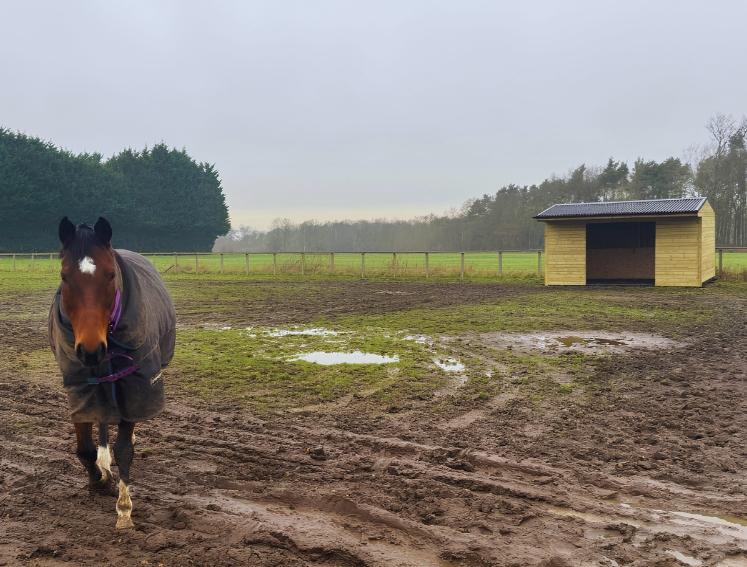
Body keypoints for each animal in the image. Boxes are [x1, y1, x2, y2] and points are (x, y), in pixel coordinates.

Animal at [49, 217, 176, 529]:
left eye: (109, 275)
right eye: (64, 276)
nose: (90, 350)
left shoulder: (135, 386)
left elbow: (124, 449)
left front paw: (124, 509)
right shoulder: (80, 385)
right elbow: (84, 447)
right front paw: (99, 478)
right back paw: (103, 460)